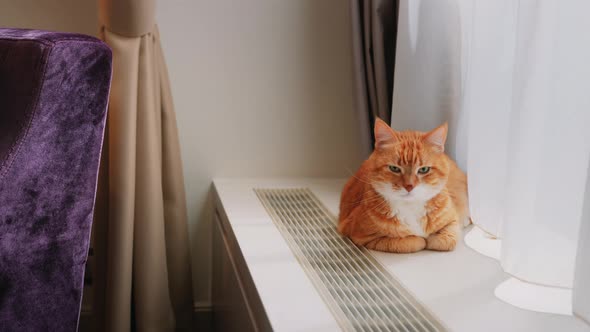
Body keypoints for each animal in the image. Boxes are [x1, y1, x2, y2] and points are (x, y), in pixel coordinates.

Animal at [340, 120, 470, 254]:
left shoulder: (452, 221)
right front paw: (421, 240)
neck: (410, 206)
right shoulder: (362, 237)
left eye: (424, 169)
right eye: (394, 168)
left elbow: (446, 240)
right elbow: (411, 242)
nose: (409, 186)